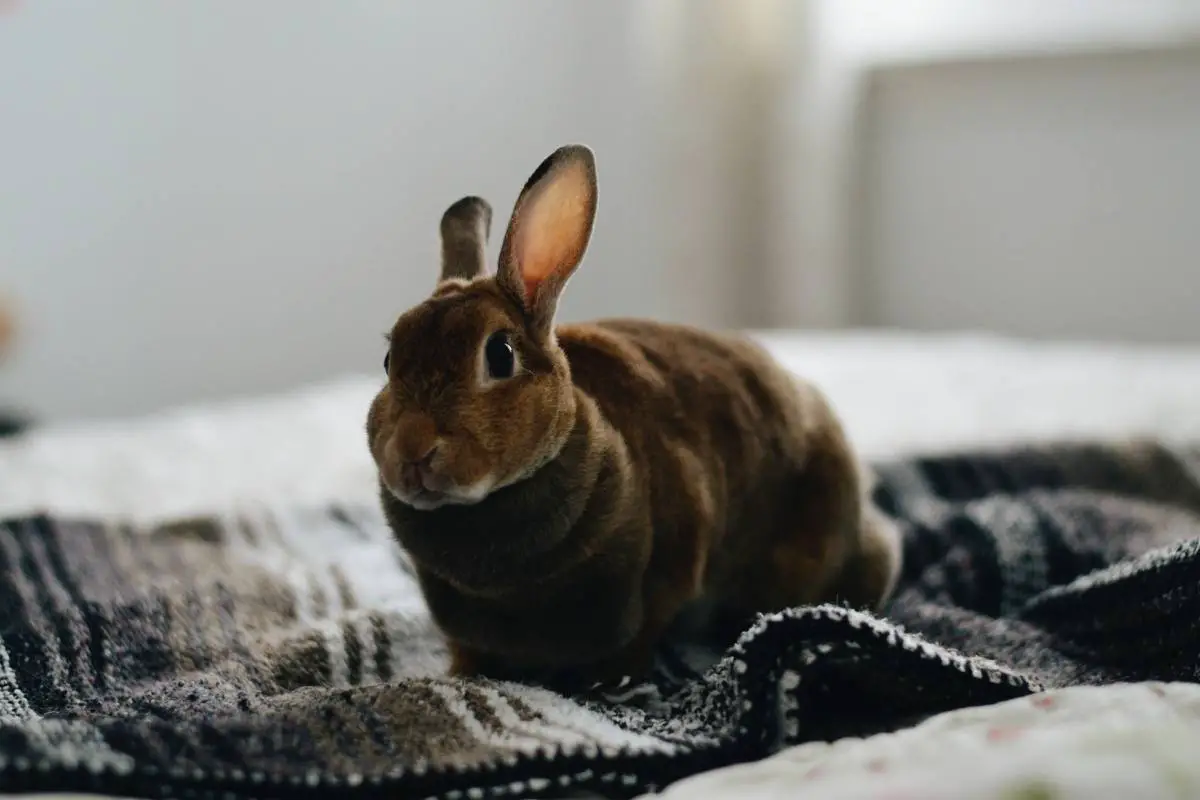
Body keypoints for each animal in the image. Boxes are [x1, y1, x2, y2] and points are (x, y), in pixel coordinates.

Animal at [364, 145, 902, 690]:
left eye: (499, 354)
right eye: (389, 361)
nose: (412, 450)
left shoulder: (667, 569)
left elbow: (640, 632)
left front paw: (609, 683)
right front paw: (462, 675)